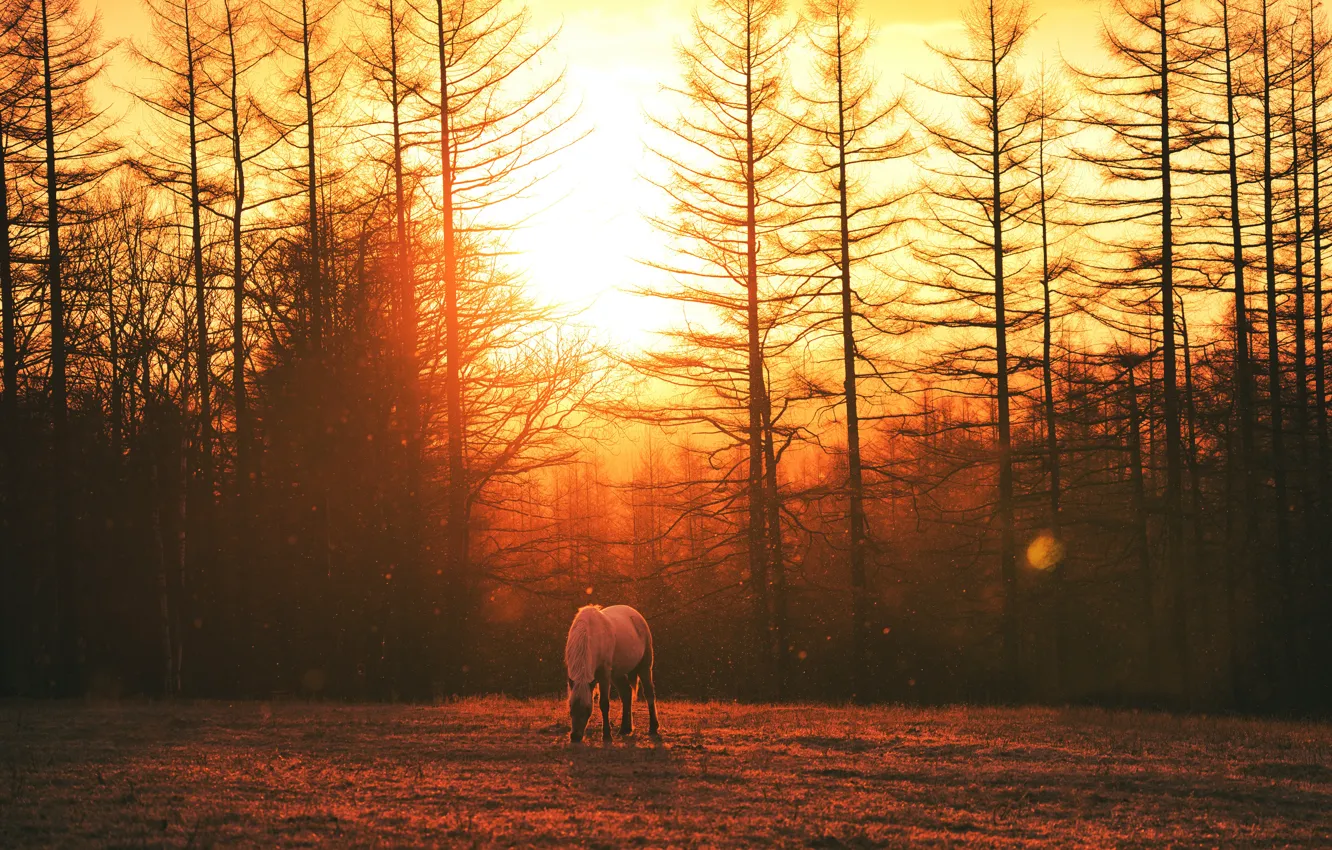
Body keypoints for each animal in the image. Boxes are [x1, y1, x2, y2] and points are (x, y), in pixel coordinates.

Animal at [564, 604, 661, 743]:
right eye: (571, 708)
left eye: (588, 710)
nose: (575, 737)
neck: (590, 633)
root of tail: (636, 615)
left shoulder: (604, 675)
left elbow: (604, 704)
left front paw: (606, 736)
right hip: (616, 674)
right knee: (626, 693)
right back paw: (625, 729)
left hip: (645, 667)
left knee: (649, 693)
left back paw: (653, 727)